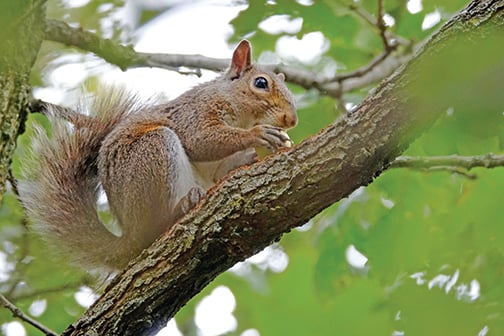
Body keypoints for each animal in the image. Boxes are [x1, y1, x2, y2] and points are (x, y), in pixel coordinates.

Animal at [17, 40, 298, 276]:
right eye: (260, 83)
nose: (291, 120)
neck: (242, 116)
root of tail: (129, 237)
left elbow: (221, 170)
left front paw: (258, 153)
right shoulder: (193, 113)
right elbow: (200, 141)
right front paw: (258, 135)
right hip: (154, 151)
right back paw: (181, 206)